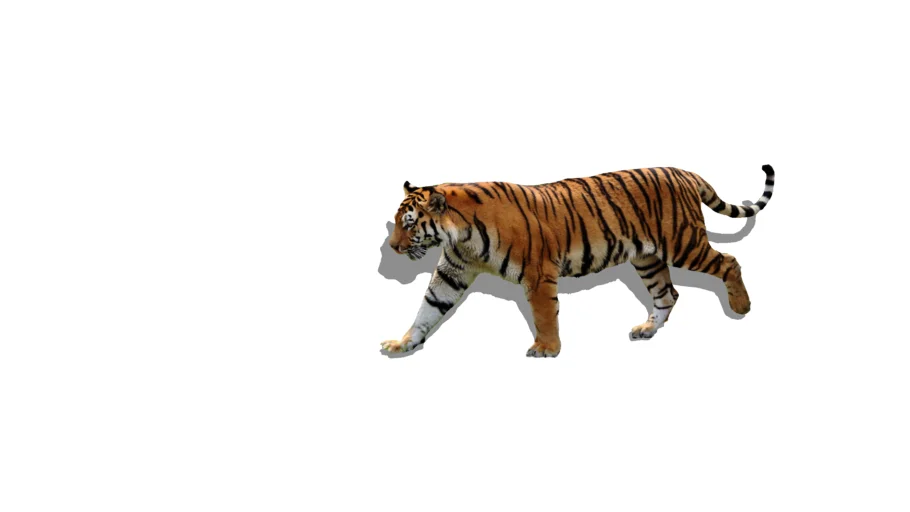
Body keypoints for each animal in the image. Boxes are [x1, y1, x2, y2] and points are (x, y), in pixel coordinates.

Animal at [381, 165, 775, 357]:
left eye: (410, 224)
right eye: (398, 223)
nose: (393, 248)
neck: (461, 237)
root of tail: (683, 172)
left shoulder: (538, 274)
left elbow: (545, 316)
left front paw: (546, 349)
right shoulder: (452, 273)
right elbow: (427, 310)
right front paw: (403, 344)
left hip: (683, 243)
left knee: (729, 261)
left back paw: (742, 306)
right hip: (648, 258)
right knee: (668, 294)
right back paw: (646, 330)